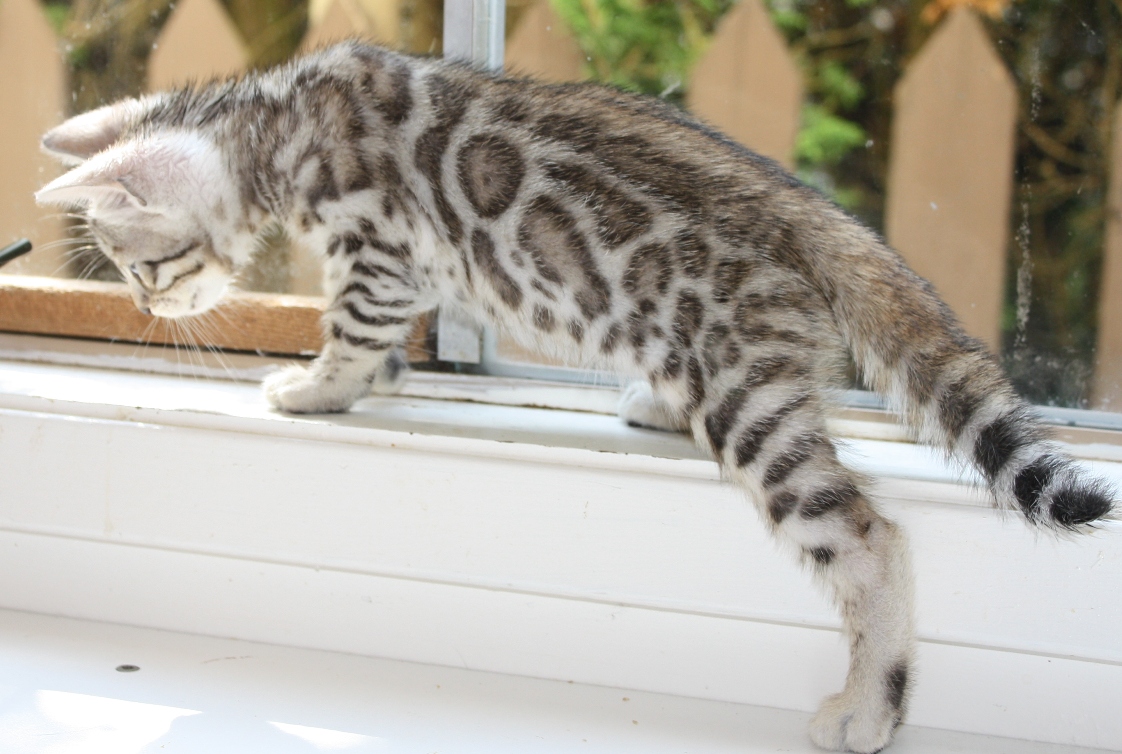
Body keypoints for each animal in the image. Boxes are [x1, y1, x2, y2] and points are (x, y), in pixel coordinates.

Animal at [34, 41, 1115, 754]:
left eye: (146, 268)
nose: (146, 308)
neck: (283, 115)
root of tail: (817, 217)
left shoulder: (376, 253)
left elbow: (352, 332)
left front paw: (313, 386)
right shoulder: (401, 267)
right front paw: (373, 377)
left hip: (748, 400)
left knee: (869, 537)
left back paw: (871, 706)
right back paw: (658, 400)